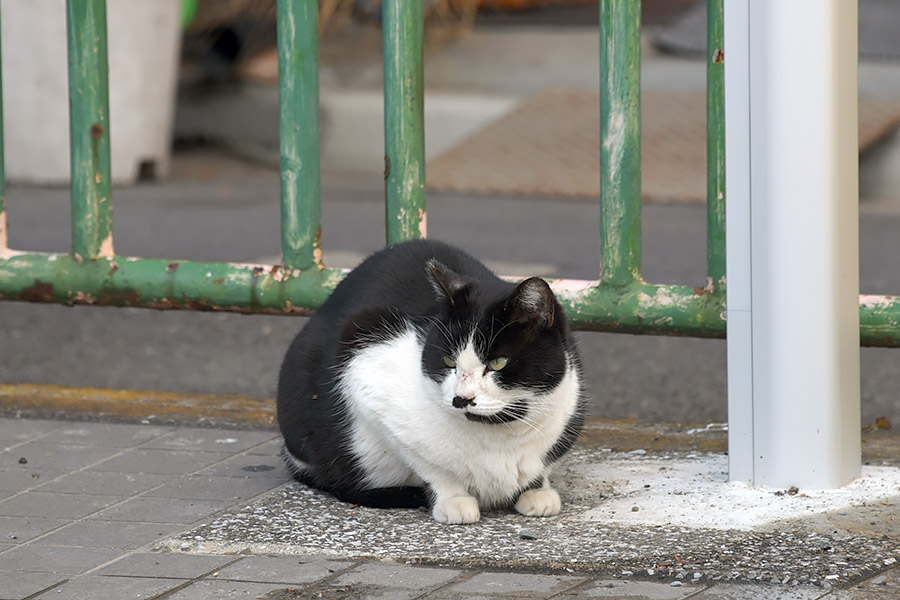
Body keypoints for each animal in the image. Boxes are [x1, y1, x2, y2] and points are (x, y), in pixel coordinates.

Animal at [278, 241, 588, 524]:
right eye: (449, 361)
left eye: (498, 363)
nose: (461, 398)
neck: (499, 436)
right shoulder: (367, 365)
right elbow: (430, 466)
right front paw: (453, 499)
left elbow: (541, 468)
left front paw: (538, 490)